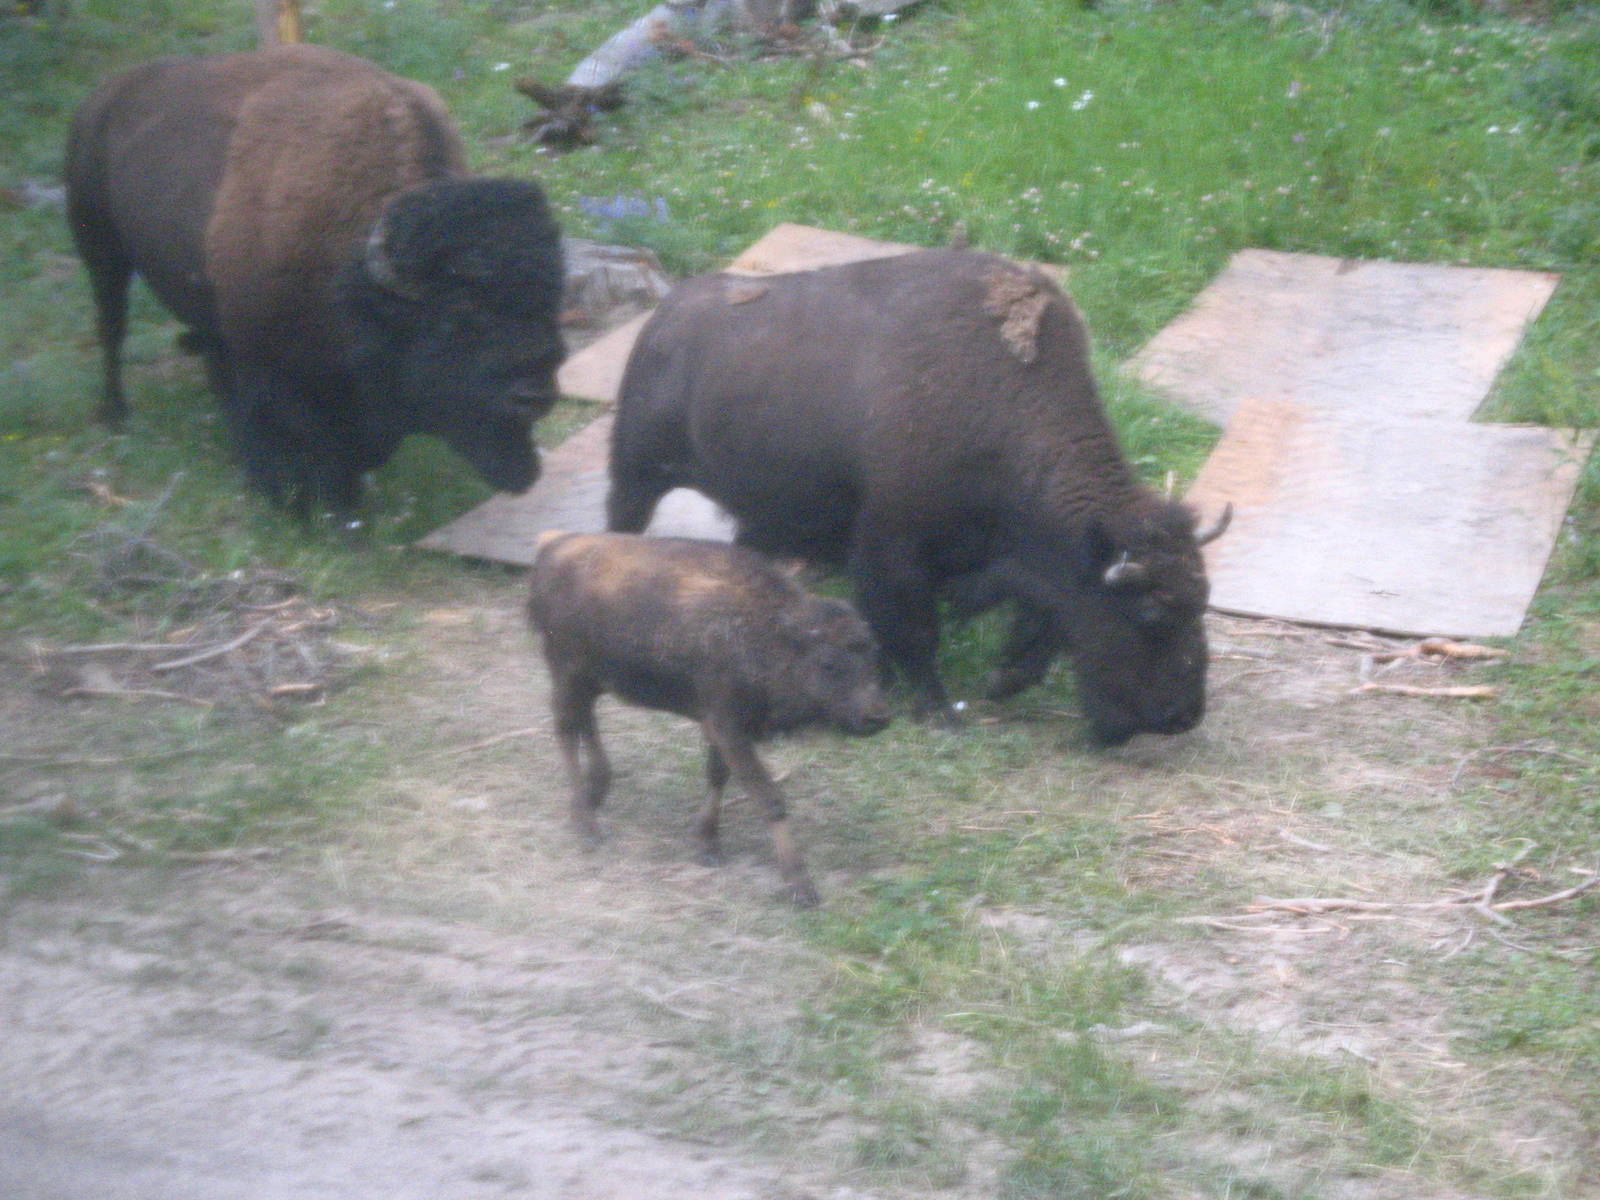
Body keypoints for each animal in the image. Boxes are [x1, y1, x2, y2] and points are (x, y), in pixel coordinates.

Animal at [64, 44, 566, 517]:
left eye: (551, 303)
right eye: (456, 320)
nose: (534, 395)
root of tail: (98, 98)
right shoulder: (270, 371)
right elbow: (287, 438)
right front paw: (298, 503)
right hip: (101, 248)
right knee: (111, 326)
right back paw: (115, 412)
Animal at [527, 531, 891, 906]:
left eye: (874, 654)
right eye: (828, 663)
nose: (877, 715)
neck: (768, 631)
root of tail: (554, 545)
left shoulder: (725, 729)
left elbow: (717, 776)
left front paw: (708, 845)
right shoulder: (726, 725)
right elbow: (768, 796)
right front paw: (801, 886)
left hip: (591, 679)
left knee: (585, 721)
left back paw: (596, 792)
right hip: (566, 672)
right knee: (567, 730)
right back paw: (586, 825)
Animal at [607, 248, 1230, 745]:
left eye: (1201, 601)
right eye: (1150, 612)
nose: (1184, 717)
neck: (1002, 410)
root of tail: (664, 315)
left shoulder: (1016, 565)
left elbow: (1041, 621)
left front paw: (1000, 681)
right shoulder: (895, 552)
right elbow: (915, 631)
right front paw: (939, 712)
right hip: (638, 470)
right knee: (623, 519)